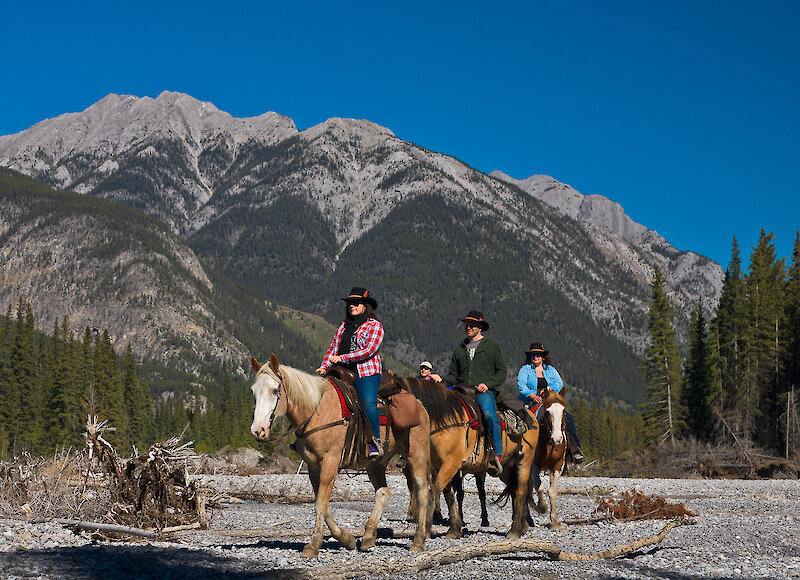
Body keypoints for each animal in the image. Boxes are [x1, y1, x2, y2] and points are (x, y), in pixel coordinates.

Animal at [250, 354, 432, 556]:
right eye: (253, 391)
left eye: (275, 390)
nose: (258, 430)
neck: (317, 410)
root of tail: (419, 404)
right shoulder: (313, 466)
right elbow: (322, 504)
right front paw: (346, 539)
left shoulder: (330, 462)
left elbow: (321, 504)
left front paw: (313, 545)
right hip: (376, 463)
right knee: (383, 492)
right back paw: (368, 537)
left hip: (417, 454)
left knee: (423, 492)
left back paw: (418, 541)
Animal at [400, 376, 536, 540]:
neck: (446, 420)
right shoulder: (440, 466)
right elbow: (449, 495)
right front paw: (454, 529)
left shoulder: (451, 465)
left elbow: (436, 491)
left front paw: (426, 528)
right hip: (507, 468)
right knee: (515, 490)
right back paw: (522, 525)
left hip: (524, 461)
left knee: (521, 491)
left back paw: (515, 530)